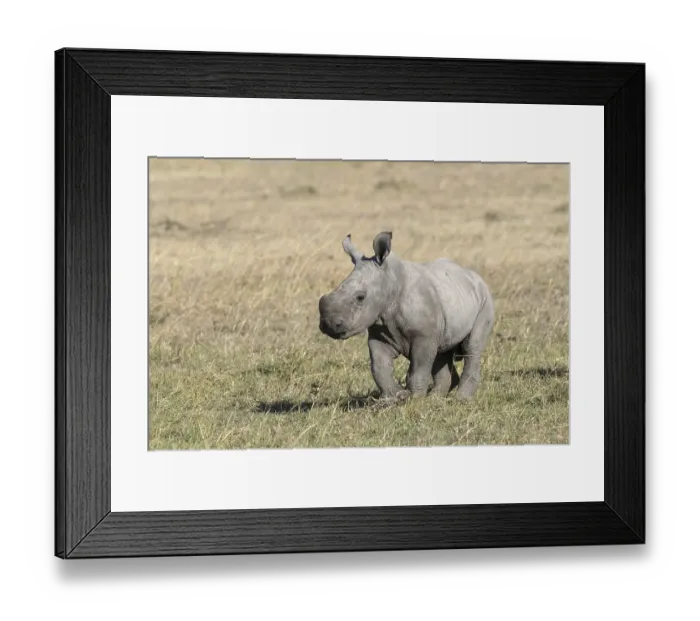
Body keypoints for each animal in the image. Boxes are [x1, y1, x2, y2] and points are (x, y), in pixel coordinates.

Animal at [318, 231, 495, 400]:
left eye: (360, 297)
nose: (328, 324)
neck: (390, 281)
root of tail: (475, 276)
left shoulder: (424, 337)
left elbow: (418, 369)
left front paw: (414, 399)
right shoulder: (380, 332)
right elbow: (379, 367)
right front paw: (394, 397)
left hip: (484, 300)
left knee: (471, 347)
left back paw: (461, 400)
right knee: (442, 351)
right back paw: (435, 398)